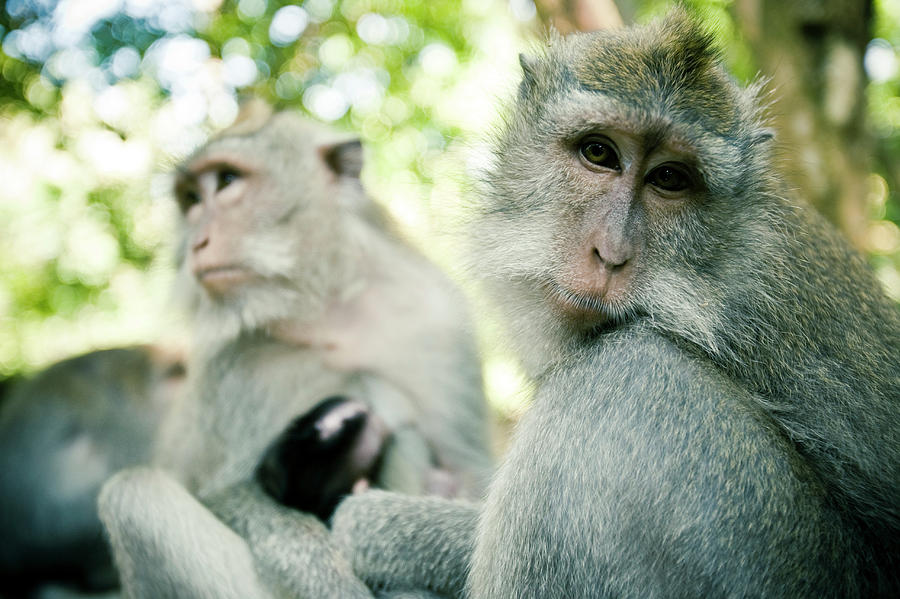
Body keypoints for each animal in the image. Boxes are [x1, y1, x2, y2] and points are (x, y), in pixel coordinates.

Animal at [97, 105, 492, 596]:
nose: (195, 244)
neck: (323, 308)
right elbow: (231, 492)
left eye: (227, 181)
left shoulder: (438, 323)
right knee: (135, 496)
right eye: (191, 200)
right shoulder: (230, 363)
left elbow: (469, 471)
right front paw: (335, 582)